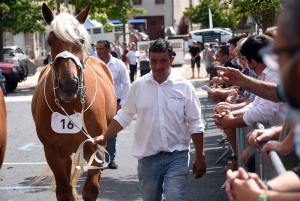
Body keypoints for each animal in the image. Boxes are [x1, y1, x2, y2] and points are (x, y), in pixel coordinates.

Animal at [31, 3, 116, 201]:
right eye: (50, 41)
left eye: (81, 41)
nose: (68, 86)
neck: (71, 106)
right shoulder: (52, 151)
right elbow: (65, 191)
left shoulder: (96, 147)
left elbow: (91, 189)